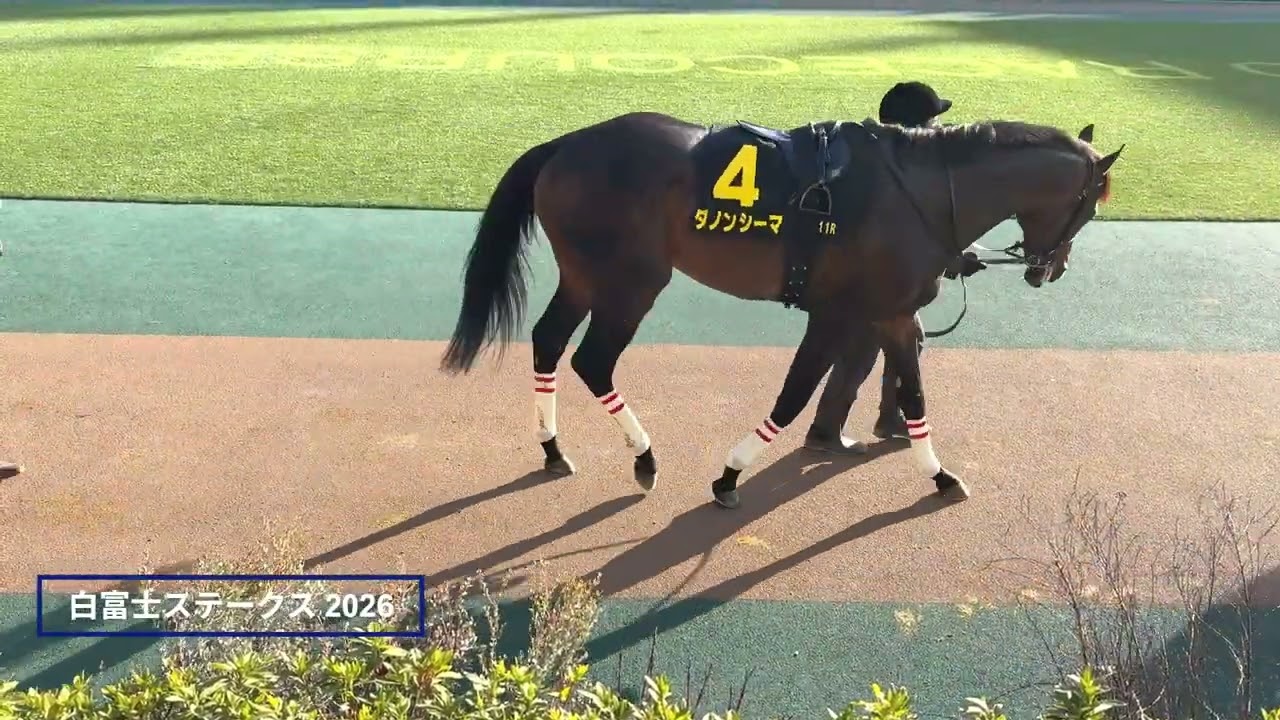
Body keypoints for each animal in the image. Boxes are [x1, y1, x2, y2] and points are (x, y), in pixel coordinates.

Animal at [438, 111, 1121, 510]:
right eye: (1090, 205)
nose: (1049, 268)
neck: (919, 193)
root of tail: (564, 144)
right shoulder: (852, 313)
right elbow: (804, 395)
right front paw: (730, 474)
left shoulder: (880, 314)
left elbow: (900, 392)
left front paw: (939, 474)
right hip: (633, 281)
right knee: (593, 360)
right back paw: (644, 458)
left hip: (584, 276)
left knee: (549, 342)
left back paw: (554, 450)